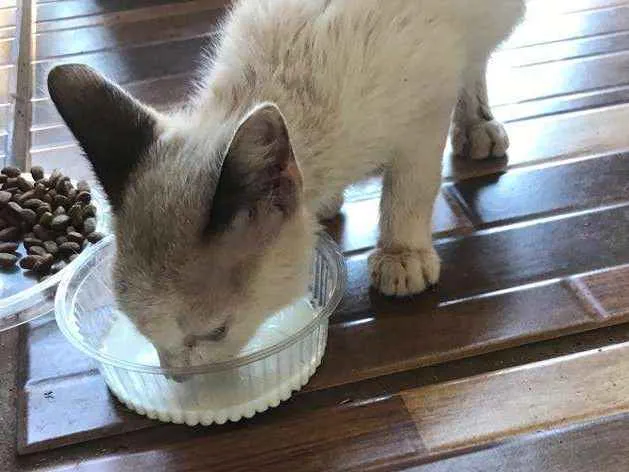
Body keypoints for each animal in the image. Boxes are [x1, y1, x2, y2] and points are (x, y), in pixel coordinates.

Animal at [46, 0, 524, 368]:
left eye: (215, 332)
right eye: (142, 332)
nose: (177, 376)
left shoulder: (424, 114)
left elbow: (409, 190)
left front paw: (401, 255)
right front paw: (326, 203)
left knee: (475, 61)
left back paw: (477, 125)